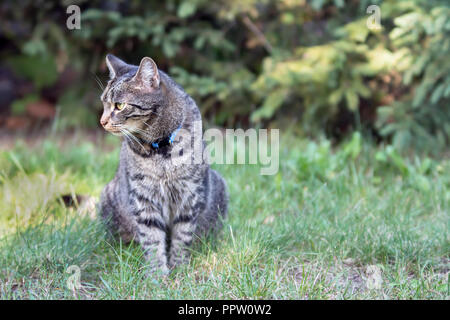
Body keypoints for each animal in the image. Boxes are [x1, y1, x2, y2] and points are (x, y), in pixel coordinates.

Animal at [99, 55, 229, 276]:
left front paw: (180, 268)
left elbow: (182, 237)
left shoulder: (189, 195)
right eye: (104, 103)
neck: (160, 149)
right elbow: (152, 239)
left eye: (119, 105)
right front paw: (157, 275)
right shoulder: (143, 199)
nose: (102, 121)